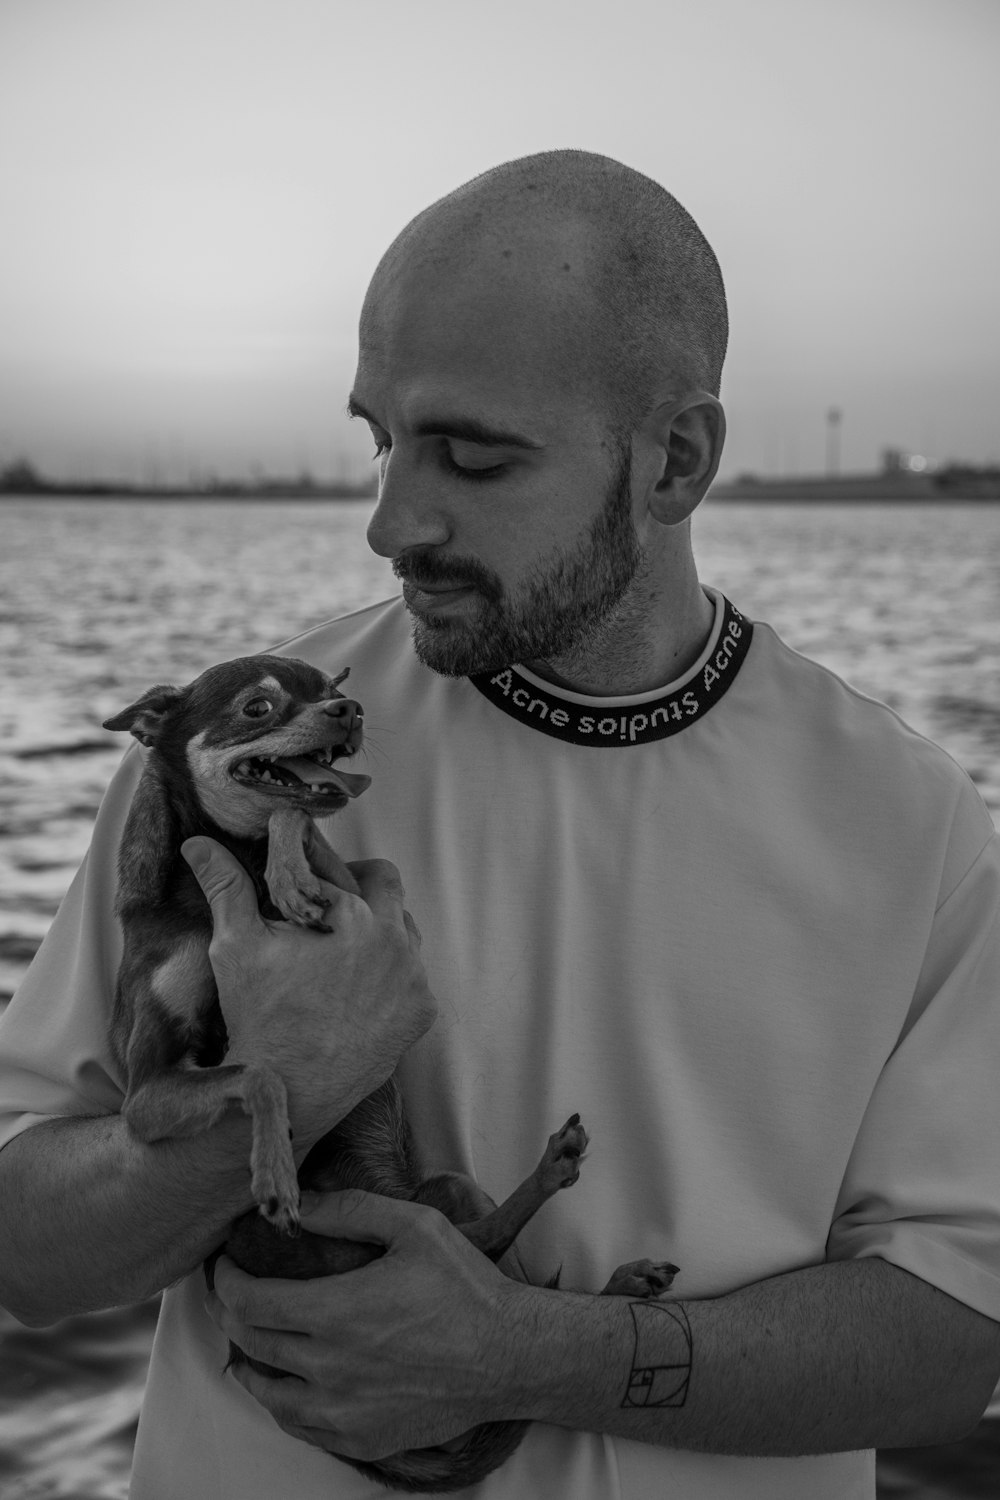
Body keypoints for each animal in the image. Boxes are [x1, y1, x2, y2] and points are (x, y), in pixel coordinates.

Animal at [103, 657, 680, 1488]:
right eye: (257, 708)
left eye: (330, 687)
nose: (348, 709)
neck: (231, 864)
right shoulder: (145, 1095)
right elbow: (262, 1073)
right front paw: (275, 1170)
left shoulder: (356, 890)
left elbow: (297, 822)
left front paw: (289, 877)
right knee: (489, 1255)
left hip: (451, 1192)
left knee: (494, 1268)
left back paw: (584, 1225)